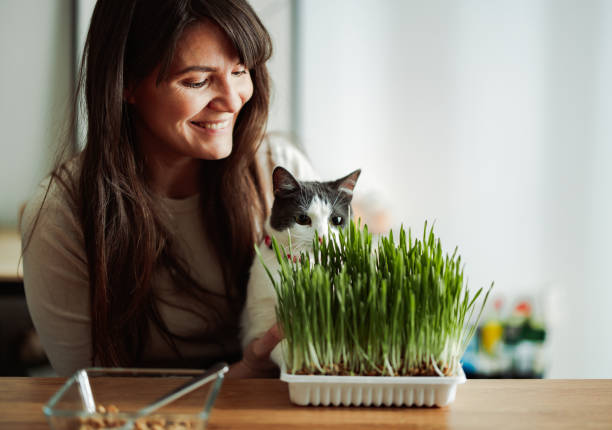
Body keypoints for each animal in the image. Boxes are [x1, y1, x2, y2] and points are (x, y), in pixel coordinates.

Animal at [239, 165, 360, 370]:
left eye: (336, 220)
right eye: (303, 219)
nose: (322, 237)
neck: (307, 265)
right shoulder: (258, 326)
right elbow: (282, 347)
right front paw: (305, 358)